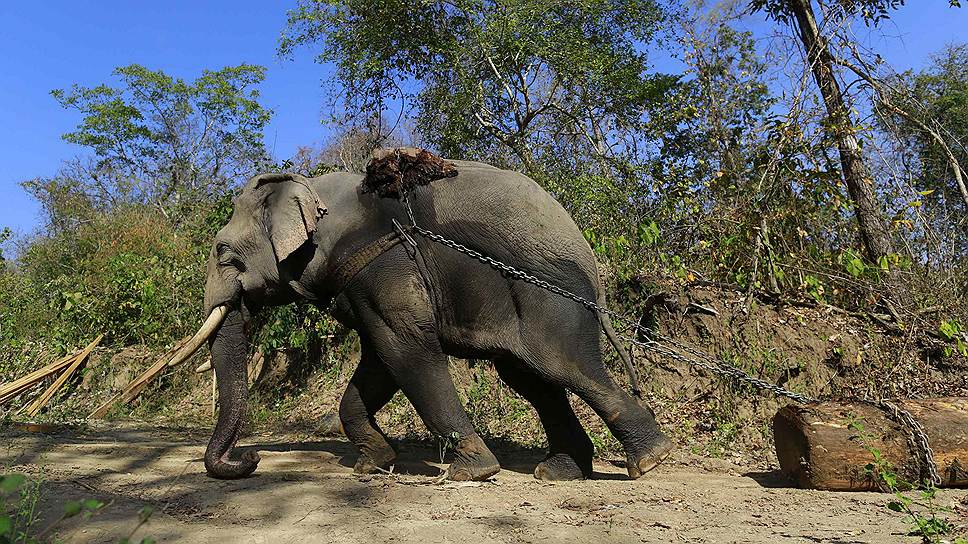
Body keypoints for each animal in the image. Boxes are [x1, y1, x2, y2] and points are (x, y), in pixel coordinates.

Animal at [168, 153, 672, 480]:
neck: (312, 189)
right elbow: (379, 361)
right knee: (531, 380)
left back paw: (649, 460)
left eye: (224, 253)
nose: (251, 459)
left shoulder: (384, 260)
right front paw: (373, 465)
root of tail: (594, 267)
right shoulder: (363, 279)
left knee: (564, 367)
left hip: (550, 299)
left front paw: (473, 472)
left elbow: (406, 349)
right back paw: (560, 473)